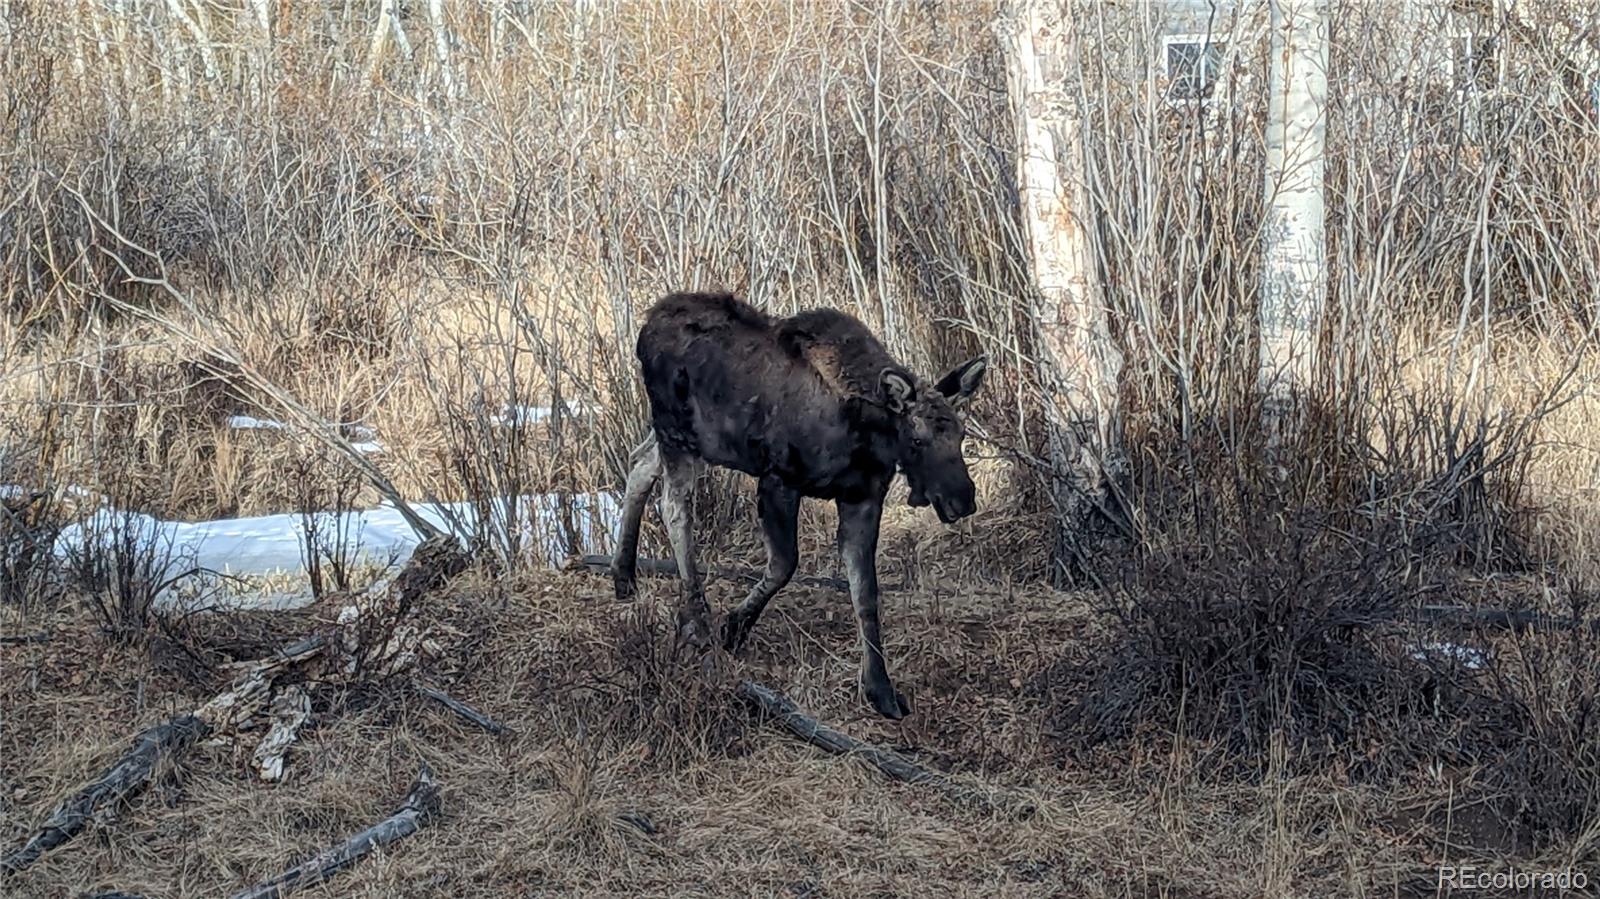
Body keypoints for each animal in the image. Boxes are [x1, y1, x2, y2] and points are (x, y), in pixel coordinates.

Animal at [611, 291, 985, 716]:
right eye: (917, 439)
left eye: (961, 433)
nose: (963, 498)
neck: (866, 434)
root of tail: (646, 326)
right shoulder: (779, 480)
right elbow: (784, 565)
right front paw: (734, 628)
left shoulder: (862, 498)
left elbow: (866, 594)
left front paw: (880, 690)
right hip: (676, 431)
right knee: (674, 507)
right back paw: (695, 622)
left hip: (687, 438)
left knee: (639, 464)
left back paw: (623, 575)